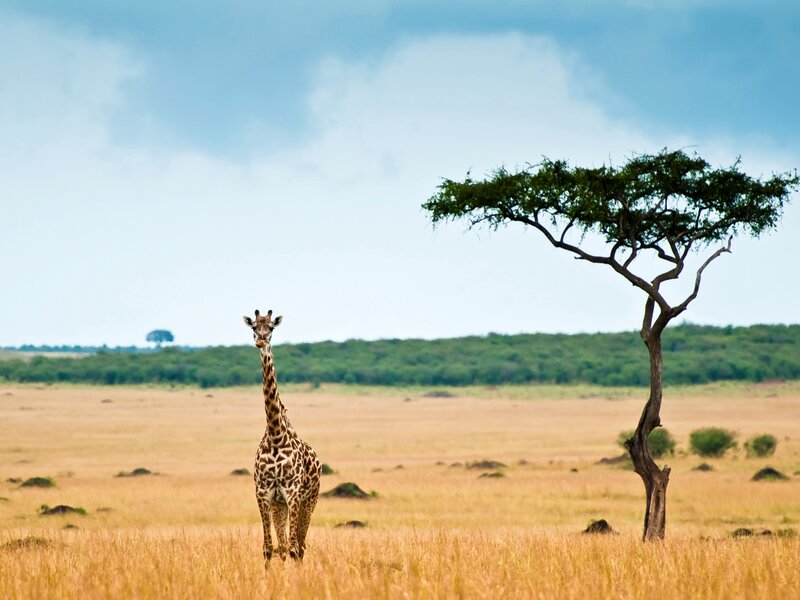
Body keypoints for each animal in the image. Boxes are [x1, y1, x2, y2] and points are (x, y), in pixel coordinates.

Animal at [243, 309, 321, 565]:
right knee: (285, 545)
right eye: (254, 327)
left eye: (271, 328)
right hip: (280, 505)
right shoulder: (264, 493)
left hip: (309, 501)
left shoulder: (293, 493)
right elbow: (269, 547)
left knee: (300, 545)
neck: (276, 435)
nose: (260, 341)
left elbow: (294, 547)